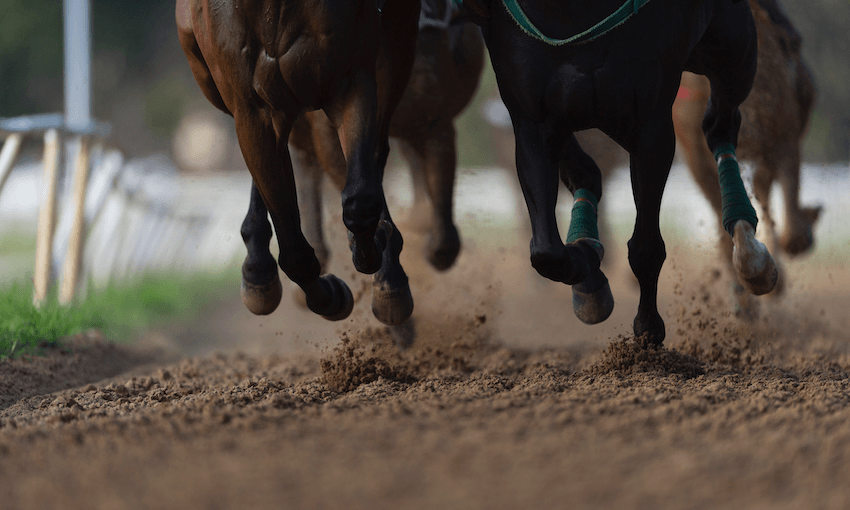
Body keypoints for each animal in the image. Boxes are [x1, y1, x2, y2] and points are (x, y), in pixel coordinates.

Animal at [176, 0, 421, 324]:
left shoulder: (351, 80)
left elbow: (361, 200)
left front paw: (381, 261)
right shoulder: (252, 110)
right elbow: (294, 252)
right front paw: (331, 296)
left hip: (397, 46)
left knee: (375, 154)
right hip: (208, 77)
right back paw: (259, 271)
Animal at [462, 0, 777, 345]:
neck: (570, 13)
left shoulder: (650, 127)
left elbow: (646, 247)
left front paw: (648, 328)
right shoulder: (532, 122)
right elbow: (547, 252)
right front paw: (589, 269)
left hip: (732, 51)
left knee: (720, 125)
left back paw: (751, 253)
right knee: (585, 173)